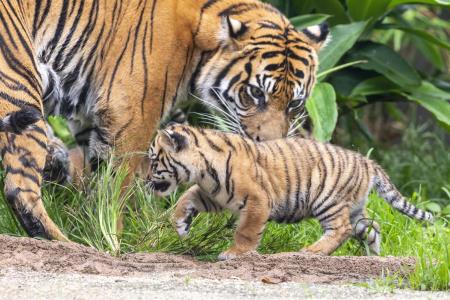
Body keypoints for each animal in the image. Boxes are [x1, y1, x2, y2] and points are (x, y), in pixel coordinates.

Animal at [0, 0, 330, 239]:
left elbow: (98, 180)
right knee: (19, 187)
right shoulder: (131, 115)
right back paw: (65, 243)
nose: (270, 147)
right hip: (20, 86)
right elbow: (119, 186)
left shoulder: (90, 120)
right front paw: (116, 239)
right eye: (256, 93)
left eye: (294, 103)